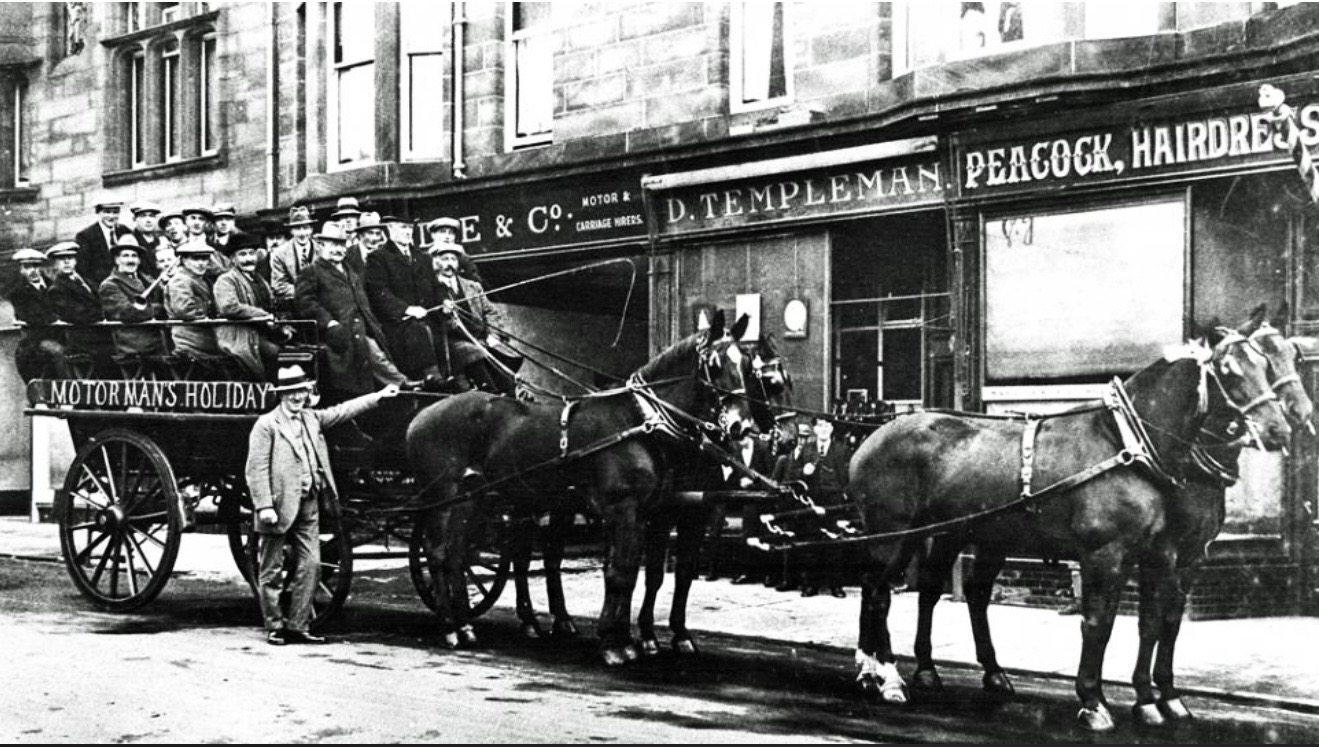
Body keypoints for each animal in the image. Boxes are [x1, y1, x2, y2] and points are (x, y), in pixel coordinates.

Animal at [406, 311, 765, 667]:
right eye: (714, 364)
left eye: (747, 365)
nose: (742, 426)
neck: (640, 420)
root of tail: (422, 414)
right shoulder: (624, 508)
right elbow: (621, 574)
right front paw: (613, 643)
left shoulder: (654, 512)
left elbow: (639, 573)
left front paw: (632, 639)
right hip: (444, 498)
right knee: (437, 553)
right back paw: (451, 627)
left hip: (473, 499)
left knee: (457, 555)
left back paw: (466, 625)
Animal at [838, 325, 1292, 733]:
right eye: (1230, 371)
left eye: (1265, 365)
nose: (1280, 430)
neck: (1128, 444)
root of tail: (873, 436)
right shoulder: (1105, 554)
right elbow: (1099, 623)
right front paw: (1094, 702)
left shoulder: (1159, 554)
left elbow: (1155, 622)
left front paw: (1154, 702)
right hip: (894, 534)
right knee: (880, 593)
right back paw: (888, 678)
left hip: (961, 534)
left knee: (941, 591)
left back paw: (924, 671)